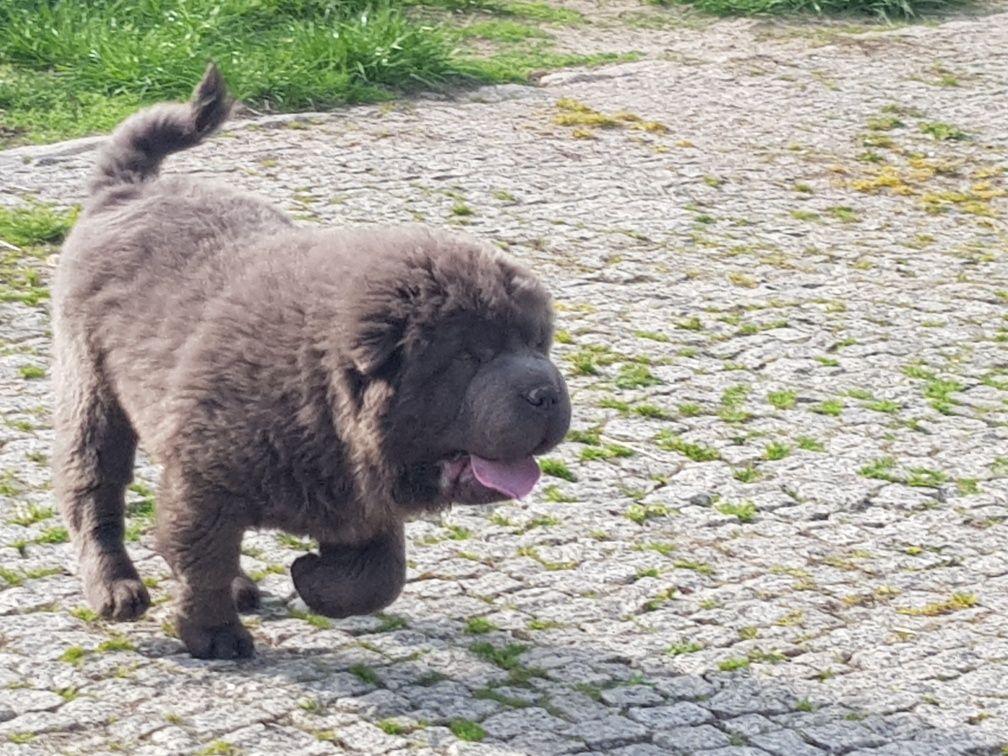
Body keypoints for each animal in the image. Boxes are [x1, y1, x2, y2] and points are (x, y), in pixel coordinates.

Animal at [53, 63, 568, 657]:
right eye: (468, 357)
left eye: (538, 345)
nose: (547, 393)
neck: (316, 392)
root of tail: (126, 188)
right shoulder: (206, 481)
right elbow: (202, 559)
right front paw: (216, 636)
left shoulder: (361, 497)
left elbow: (380, 577)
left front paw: (312, 577)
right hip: (91, 388)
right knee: (94, 491)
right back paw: (116, 588)